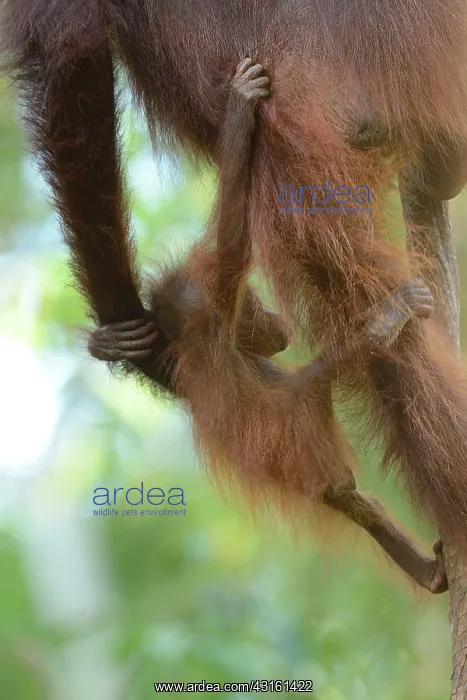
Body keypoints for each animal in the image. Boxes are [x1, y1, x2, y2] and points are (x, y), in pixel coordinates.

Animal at [3, 0, 467, 585]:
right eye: (250, 306)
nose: (273, 325)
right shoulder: (214, 308)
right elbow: (231, 236)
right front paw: (240, 112)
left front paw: (118, 341)